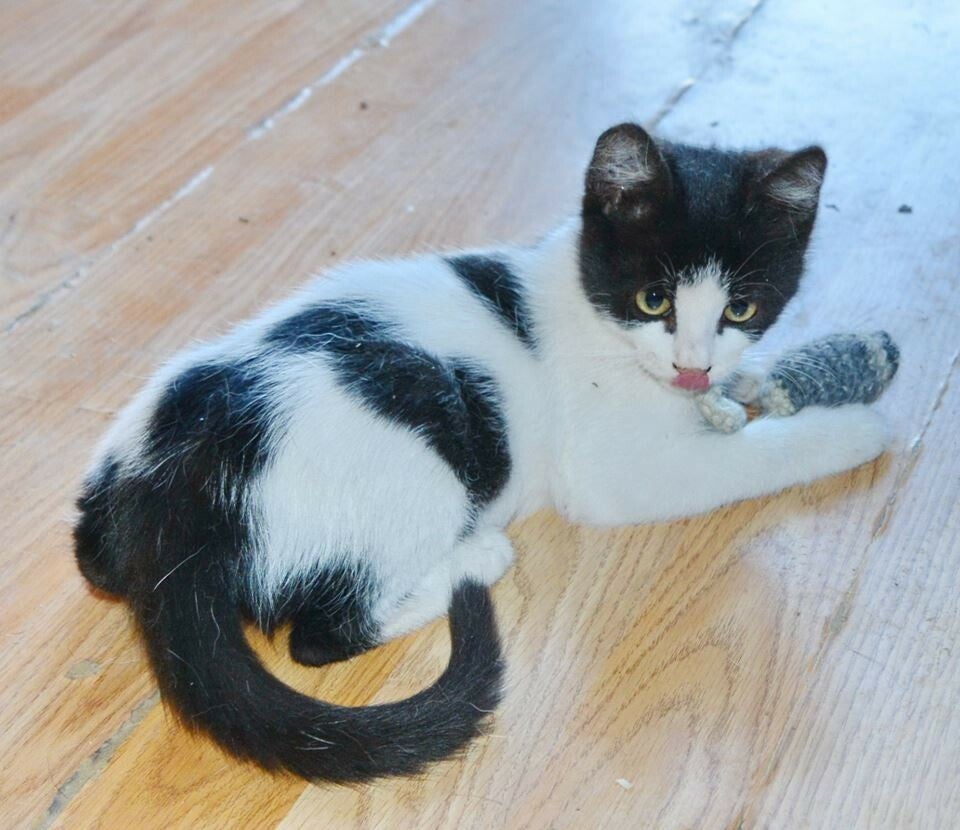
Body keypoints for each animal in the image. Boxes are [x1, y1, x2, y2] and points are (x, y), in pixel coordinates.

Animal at [74, 123, 889, 783]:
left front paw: (740, 392)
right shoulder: (613, 472)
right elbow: (751, 457)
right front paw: (856, 428)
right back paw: (474, 560)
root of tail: (165, 490)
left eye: (741, 308)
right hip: (421, 457)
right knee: (323, 633)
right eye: (653, 299)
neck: (590, 311)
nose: (695, 368)